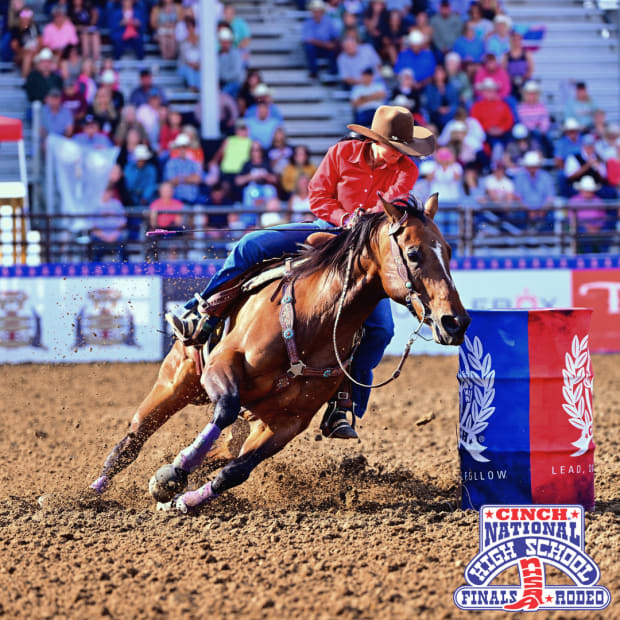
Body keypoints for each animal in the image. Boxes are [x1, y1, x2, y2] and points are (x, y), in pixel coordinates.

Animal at [91, 194, 470, 512]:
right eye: (413, 254)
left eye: (449, 251)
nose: (456, 322)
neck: (313, 320)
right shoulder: (222, 366)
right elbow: (224, 409)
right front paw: (173, 474)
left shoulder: (287, 422)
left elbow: (235, 472)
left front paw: (183, 500)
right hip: (177, 381)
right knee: (133, 439)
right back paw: (93, 491)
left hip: (246, 418)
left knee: (222, 451)